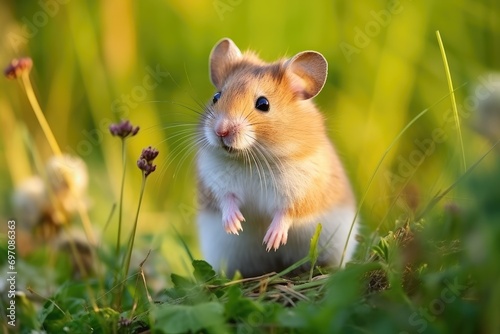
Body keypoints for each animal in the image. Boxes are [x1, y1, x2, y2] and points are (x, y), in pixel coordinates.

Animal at [196, 37, 360, 276]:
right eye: (216, 97)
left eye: (263, 104)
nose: (221, 131)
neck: (252, 158)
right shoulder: (215, 182)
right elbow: (227, 200)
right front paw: (235, 226)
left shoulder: (302, 190)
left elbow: (285, 213)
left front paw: (272, 241)